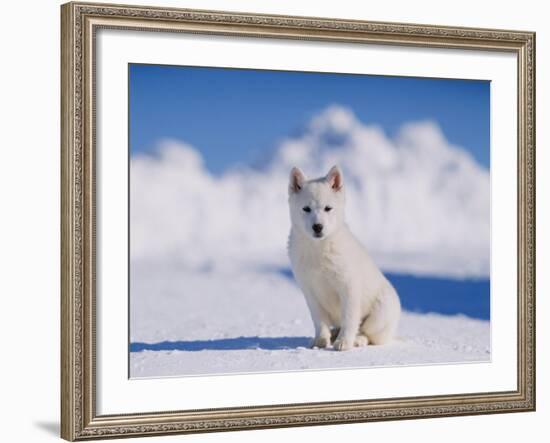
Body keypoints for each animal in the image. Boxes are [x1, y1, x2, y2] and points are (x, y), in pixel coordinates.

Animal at [288, 165, 402, 352]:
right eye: (306, 209)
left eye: (328, 208)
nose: (317, 227)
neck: (319, 249)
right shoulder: (310, 291)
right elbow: (319, 321)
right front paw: (321, 340)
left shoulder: (349, 288)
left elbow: (349, 318)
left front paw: (344, 342)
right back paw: (334, 333)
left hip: (379, 313)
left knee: (368, 333)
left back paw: (357, 340)